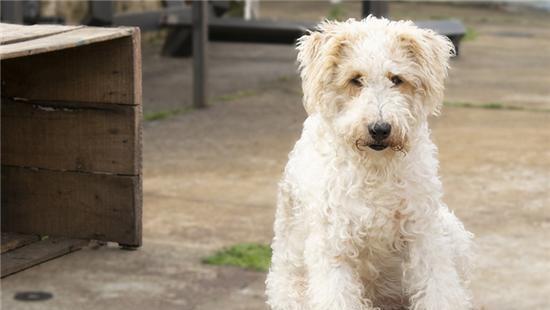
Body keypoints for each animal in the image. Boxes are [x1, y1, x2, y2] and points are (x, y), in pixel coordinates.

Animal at [266, 17, 474, 310]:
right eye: (355, 79)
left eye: (396, 79)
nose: (380, 129)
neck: (376, 168)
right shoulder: (333, 245)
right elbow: (336, 296)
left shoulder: (423, 234)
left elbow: (439, 289)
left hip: (451, 231)